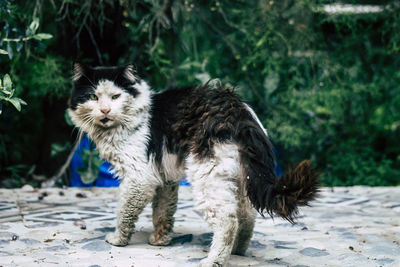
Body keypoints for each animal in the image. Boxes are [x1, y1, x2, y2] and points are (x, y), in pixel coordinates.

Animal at [68, 64, 318, 267]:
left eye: (115, 96)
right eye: (93, 96)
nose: (105, 110)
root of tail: (236, 108)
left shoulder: (139, 177)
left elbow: (124, 212)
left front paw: (118, 240)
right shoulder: (164, 179)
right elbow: (163, 212)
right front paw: (161, 240)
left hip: (207, 177)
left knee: (227, 221)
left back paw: (214, 260)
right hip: (237, 178)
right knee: (246, 216)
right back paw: (238, 251)